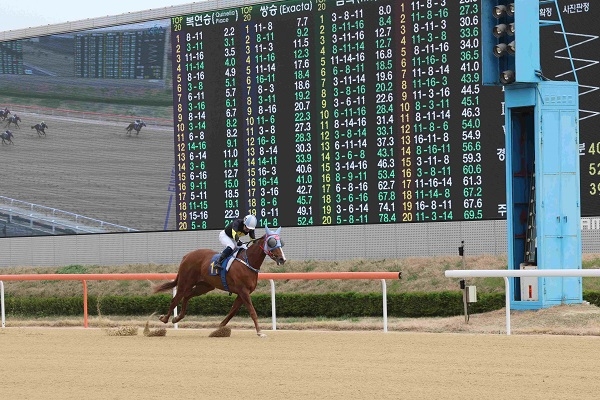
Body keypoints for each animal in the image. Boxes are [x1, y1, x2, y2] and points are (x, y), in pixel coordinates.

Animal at [154, 227, 288, 336]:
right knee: (175, 299)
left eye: (281, 242)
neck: (248, 262)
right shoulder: (243, 291)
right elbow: (252, 311)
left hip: (204, 286)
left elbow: (232, 311)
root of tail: (186, 256)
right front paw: (260, 332)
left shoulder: (243, 293)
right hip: (185, 282)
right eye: (271, 242)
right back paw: (165, 318)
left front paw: (219, 328)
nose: (282, 259)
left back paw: (177, 318)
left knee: (187, 296)